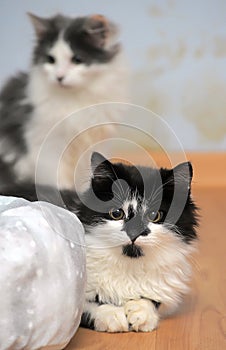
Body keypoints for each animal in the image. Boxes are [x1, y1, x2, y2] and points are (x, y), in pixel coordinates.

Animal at [0, 13, 129, 189]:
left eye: (77, 59)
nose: (59, 76)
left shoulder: (94, 142)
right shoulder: (47, 145)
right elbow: (57, 180)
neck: (75, 100)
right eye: (50, 59)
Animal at [0, 153, 198, 334]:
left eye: (154, 216)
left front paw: (141, 314)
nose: (134, 233)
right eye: (117, 213)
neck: (127, 265)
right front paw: (113, 316)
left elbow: (152, 300)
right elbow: (87, 307)